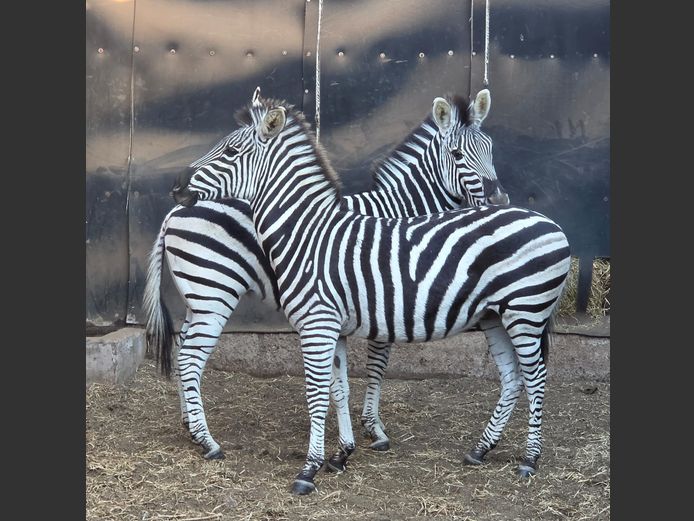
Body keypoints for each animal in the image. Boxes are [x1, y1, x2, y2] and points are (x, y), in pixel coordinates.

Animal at [174, 89, 571, 494]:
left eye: (230, 152)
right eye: (458, 153)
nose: (177, 186)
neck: (308, 232)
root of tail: (551, 223)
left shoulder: (326, 325)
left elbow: (325, 390)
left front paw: (313, 467)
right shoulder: (335, 326)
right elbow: (339, 388)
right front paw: (342, 453)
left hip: (524, 312)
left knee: (534, 378)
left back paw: (529, 459)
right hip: (497, 314)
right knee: (513, 378)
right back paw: (481, 450)